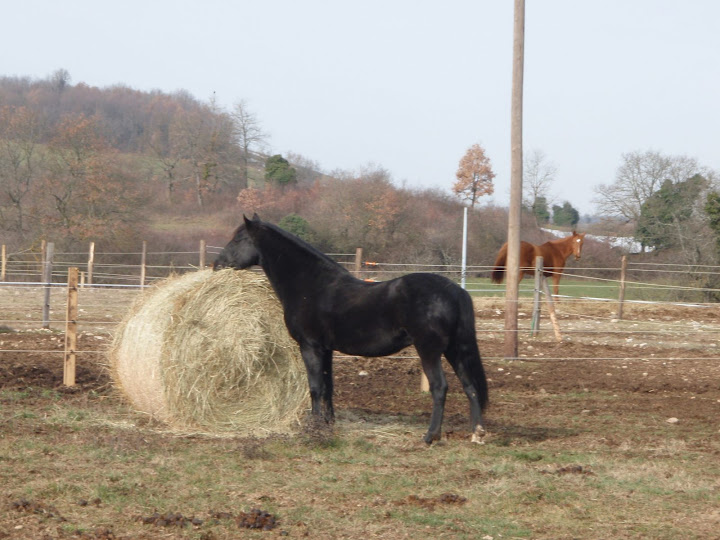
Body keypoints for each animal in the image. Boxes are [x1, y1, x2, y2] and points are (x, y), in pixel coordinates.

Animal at [211, 214, 486, 442]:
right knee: (470, 386)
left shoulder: (310, 346)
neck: (311, 285)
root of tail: (455, 290)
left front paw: (313, 428)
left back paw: (430, 436)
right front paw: (328, 424)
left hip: (429, 351)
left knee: (440, 388)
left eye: (239, 239)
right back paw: (477, 433)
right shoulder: (326, 349)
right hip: (454, 349)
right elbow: (328, 386)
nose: (217, 265)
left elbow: (315, 387)